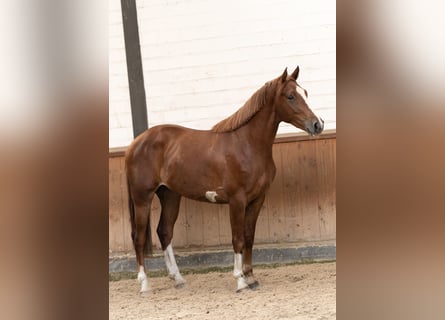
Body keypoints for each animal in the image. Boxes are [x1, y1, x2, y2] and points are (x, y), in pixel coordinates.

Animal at [125, 67, 322, 292]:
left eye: (305, 93)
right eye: (290, 96)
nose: (317, 124)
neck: (247, 144)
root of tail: (136, 143)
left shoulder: (257, 199)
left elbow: (248, 237)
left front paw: (251, 277)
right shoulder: (237, 200)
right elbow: (237, 239)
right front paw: (240, 280)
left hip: (170, 195)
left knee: (165, 232)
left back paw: (178, 279)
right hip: (142, 198)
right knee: (139, 237)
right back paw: (144, 284)